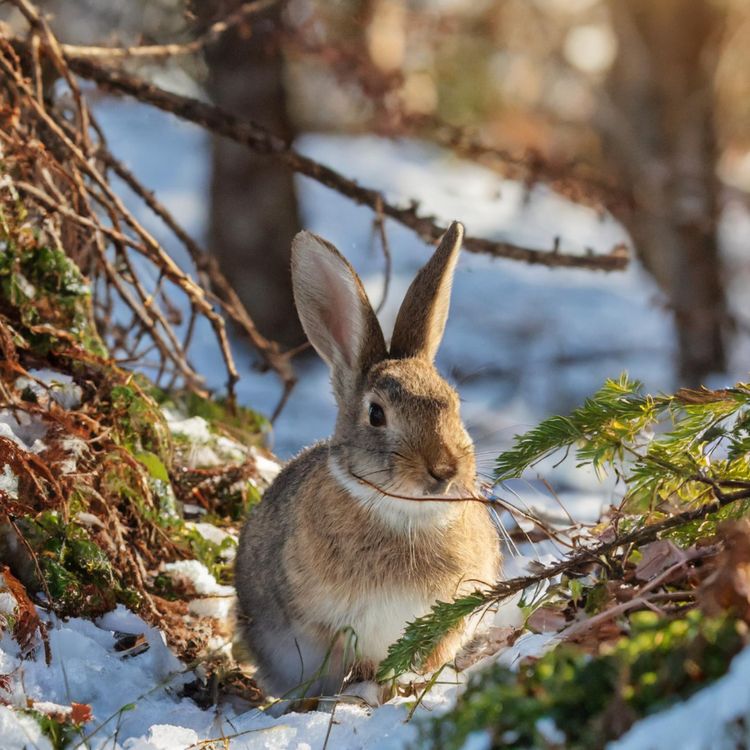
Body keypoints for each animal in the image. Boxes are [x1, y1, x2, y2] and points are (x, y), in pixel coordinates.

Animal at [234, 221, 500, 700]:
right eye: (376, 414)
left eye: (453, 403)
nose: (444, 470)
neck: (405, 513)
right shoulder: (326, 625)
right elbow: (353, 662)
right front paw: (371, 691)